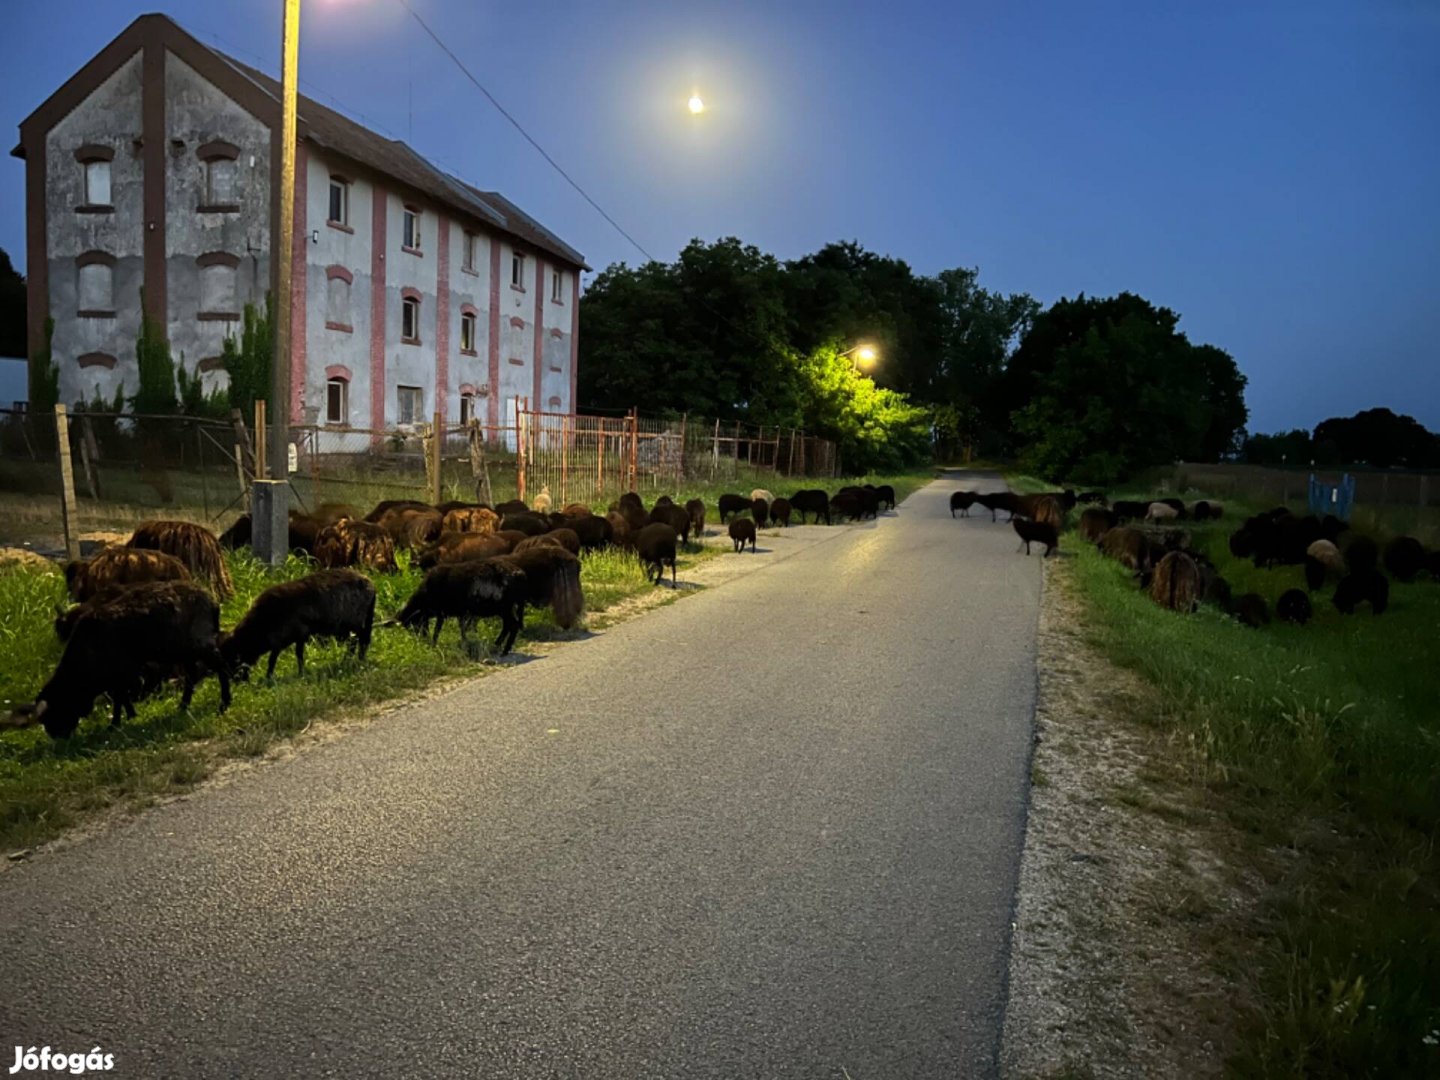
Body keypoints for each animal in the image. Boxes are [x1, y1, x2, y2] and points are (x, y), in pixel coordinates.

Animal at [3, 584, 227, 743]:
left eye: (55, 712)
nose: (57, 737)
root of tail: (212, 601)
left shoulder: (119, 673)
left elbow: (118, 698)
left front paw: (116, 723)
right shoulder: (118, 676)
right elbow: (121, 697)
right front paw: (129, 716)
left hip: (199, 643)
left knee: (220, 665)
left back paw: (224, 703)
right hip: (183, 651)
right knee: (191, 675)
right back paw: (183, 706)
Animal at [218, 570, 377, 679]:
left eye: (234, 657)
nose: (237, 681)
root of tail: (370, 584)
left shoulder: (296, 634)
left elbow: (285, 657)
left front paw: (275, 676)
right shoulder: (285, 639)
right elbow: (283, 656)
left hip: (354, 621)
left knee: (360, 640)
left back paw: (356, 660)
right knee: (357, 641)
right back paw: (351, 661)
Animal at [394, 561, 529, 656]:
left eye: (410, 624)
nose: (419, 642)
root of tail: (520, 574)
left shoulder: (441, 613)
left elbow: (437, 631)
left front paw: (433, 646)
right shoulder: (458, 613)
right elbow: (462, 629)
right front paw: (464, 644)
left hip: (504, 607)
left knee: (513, 625)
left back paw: (504, 651)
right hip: (507, 608)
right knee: (508, 626)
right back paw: (496, 645)